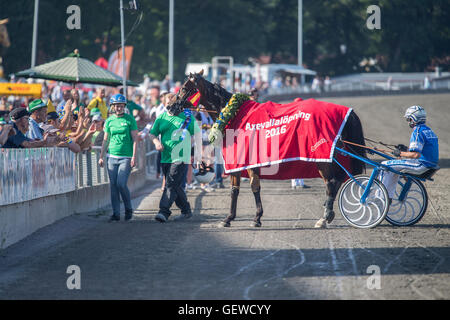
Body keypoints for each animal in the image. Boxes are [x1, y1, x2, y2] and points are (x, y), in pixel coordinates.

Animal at [171, 71, 368, 229]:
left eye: (185, 88)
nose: (171, 107)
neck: (233, 114)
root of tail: (347, 112)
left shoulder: (246, 161)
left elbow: (249, 188)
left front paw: (250, 218)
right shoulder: (242, 162)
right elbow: (240, 189)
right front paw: (234, 218)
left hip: (322, 157)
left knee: (331, 183)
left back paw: (324, 217)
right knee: (336, 181)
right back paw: (327, 215)